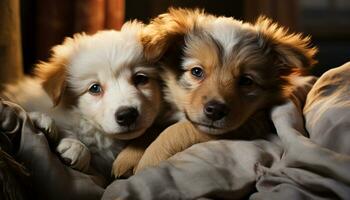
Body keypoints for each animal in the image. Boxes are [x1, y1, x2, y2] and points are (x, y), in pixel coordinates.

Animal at [113, 8, 318, 177]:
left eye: (246, 81)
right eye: (197, 71)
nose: (216, 110)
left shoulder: (249, 125)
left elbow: (178, 130)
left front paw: (147, 162)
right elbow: (154, 127)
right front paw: (129, 156)